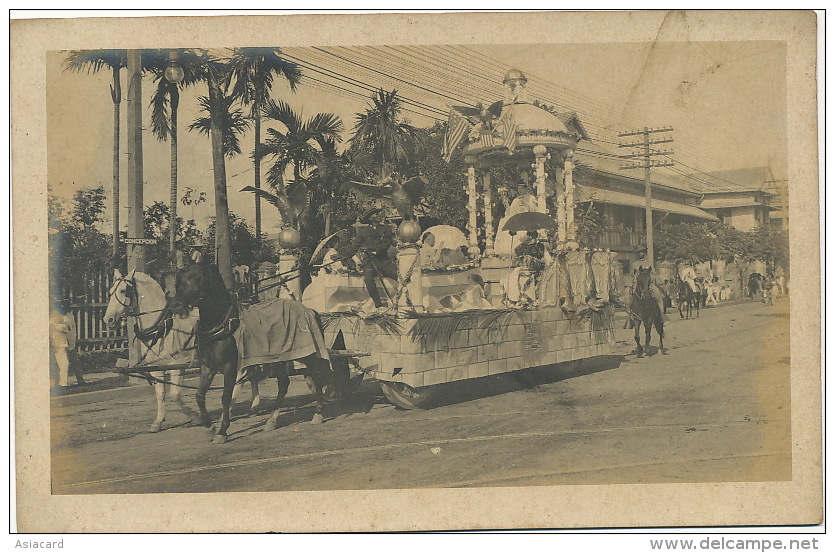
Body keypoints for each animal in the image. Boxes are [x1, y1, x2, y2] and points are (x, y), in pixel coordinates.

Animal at [169, 264, 334, 444]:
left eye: (198, 279)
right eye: (178, 280)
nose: (176, 305)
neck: (222, 325)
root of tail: (308, 310)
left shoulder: (230, 368)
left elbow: (225, 398)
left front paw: (222, 431)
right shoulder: (208, 366)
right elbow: (199, 396)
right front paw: (209, 427)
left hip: (308, 356)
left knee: (316, 378)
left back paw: (318, 414)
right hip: (279, 358)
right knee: (285, 384)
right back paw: (271, 421)